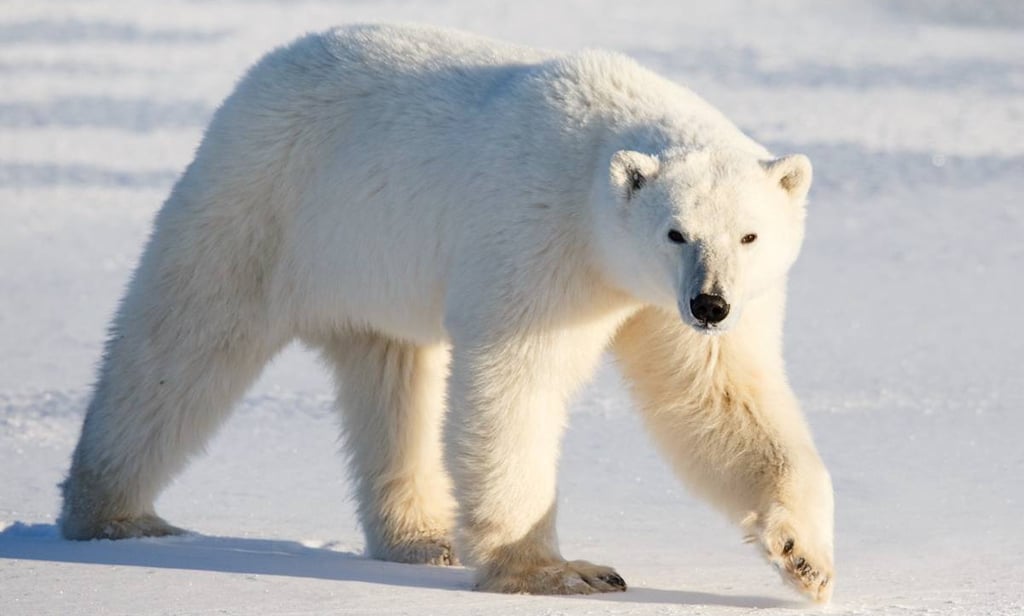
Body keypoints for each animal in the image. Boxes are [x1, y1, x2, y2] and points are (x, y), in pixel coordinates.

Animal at [59, 24, 835, 603]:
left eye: (749, 235)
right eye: (675, 231)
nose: (711, 303)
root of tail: (265, 69)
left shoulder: (666, 302)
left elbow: (721, 399)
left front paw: (805, 558)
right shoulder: (538, 237)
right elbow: (515, 385)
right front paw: (559, 572)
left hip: (370, 272)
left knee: (393, 381)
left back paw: (421, 537)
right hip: (264, 201)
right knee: (183, 342)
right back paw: (113, 514)